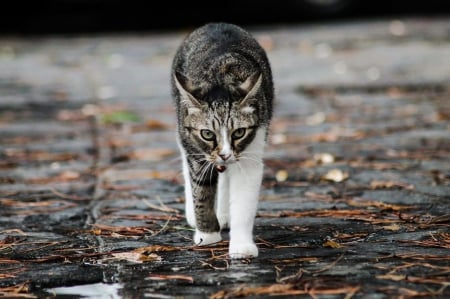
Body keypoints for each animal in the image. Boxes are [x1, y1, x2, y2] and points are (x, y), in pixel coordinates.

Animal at [170, 22, 272, 258]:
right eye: (207, 134)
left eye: (239, 133)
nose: (225, 154)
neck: (221, 80)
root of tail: (215, 24)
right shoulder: (197, 151)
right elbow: (201, 191)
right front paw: (207, 235)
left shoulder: (251, 150)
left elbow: (243, 200)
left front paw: (241, 245)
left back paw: (224, 214)